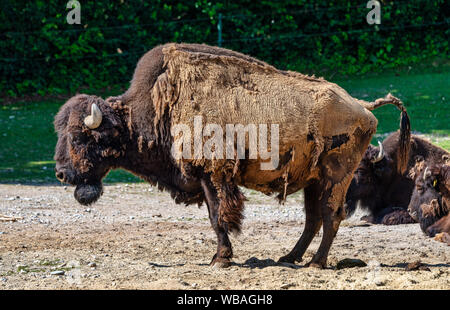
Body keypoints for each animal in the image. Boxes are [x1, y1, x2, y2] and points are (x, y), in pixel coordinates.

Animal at [53, 42, 408, 268]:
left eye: (80, 136)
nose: (61, 173)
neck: (155, 107)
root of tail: (362, 106)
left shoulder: (212, 175)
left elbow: (218, 215)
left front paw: (220, 258)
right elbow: (218, 216)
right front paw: (221, 256)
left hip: (336, 176)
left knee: (331, 215)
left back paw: (316, 264)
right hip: (313, 179)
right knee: (313, 218)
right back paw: (290, 258)